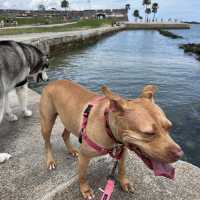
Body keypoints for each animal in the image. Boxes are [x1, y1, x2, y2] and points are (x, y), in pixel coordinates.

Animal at [39, 79, 184, 198]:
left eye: (169, 127)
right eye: (148, 133)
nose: (179, 154)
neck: (107, 125)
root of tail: (53, 82)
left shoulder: (122, 150)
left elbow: (122, 168)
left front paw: (124, 182)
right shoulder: (85, 156)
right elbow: (82, 175)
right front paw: (85, 190)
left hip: (68, 120)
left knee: (65, 134)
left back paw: (72, 150)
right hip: (47, 122)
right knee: (47, 142)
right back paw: (50, 160)